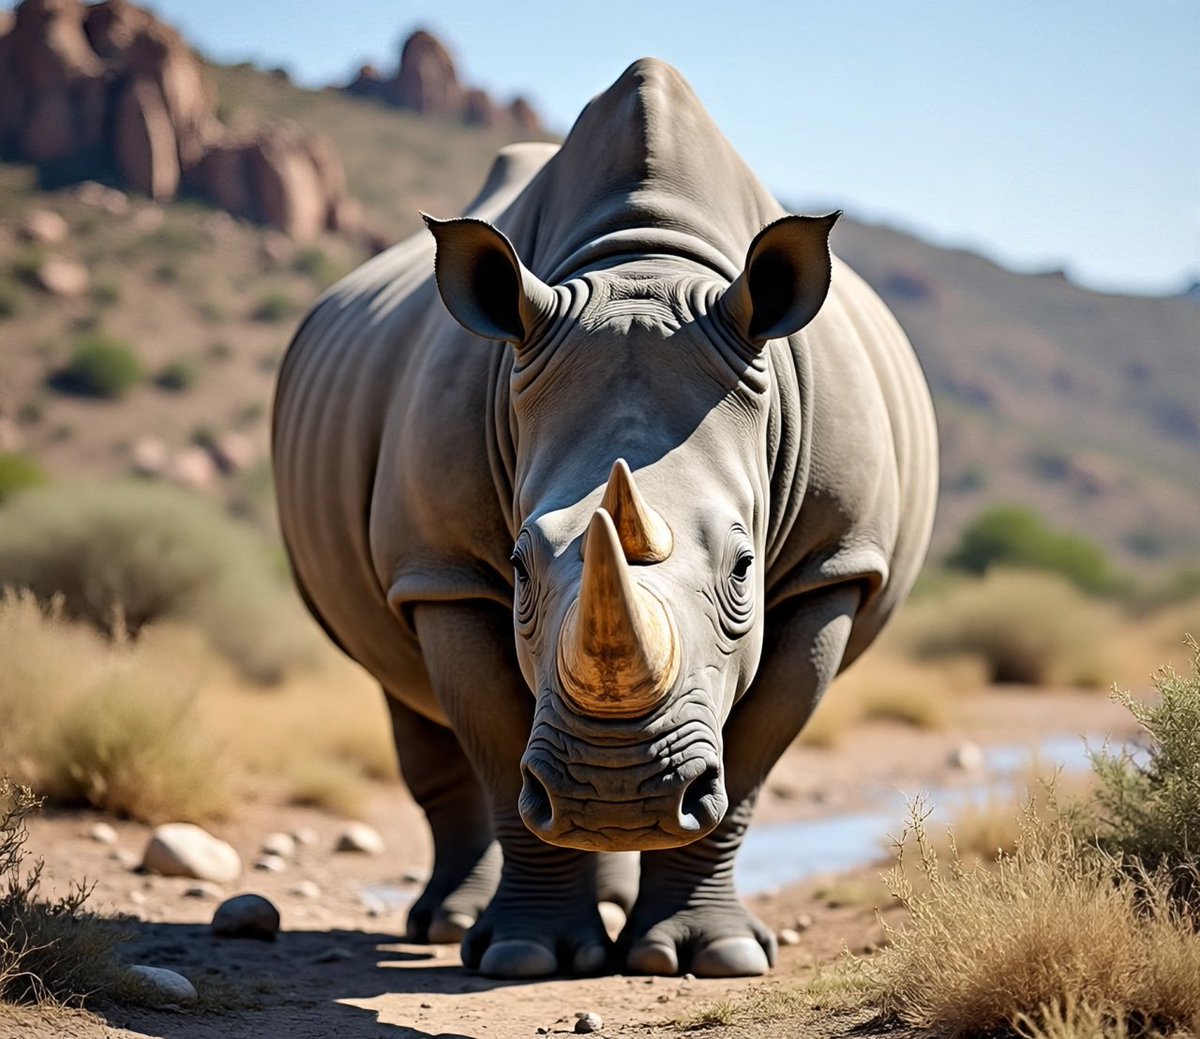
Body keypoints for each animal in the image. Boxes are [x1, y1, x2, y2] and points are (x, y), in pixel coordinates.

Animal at [272, 58, 937, 979]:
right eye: (517, 566)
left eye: (743, 568)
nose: (615, 793)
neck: (643, 262)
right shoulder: (446, 566)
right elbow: (493, 739)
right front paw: (525, 954)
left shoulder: (831, 563)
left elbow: (751, 763)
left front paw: (714, 955)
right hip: (412, 563)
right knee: (409, 699)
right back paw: (449, 924)